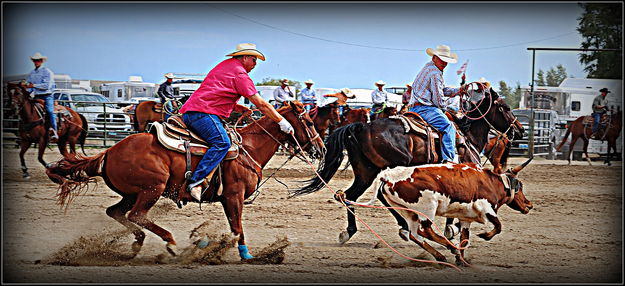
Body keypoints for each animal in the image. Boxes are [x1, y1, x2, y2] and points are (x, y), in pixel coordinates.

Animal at [46, 101, 324, 260]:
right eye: (310, 122)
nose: (321, 149)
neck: (249, 147)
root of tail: (109, 152)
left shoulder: (228, 199)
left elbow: (235, 228)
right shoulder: (233, 196)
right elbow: (237, 229)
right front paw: (245, 255)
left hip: (131, 194)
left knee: (116, 212)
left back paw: (138, 243)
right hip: (152, 189)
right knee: (137, 215)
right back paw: (170, 243)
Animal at [290, 87, 524, 244]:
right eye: (505, 107)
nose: (519, 130)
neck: (467, 136)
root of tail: (361, 127)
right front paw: (453, 228)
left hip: (366, 172)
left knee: (349, 195)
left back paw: (349, 231)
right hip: (393, 167)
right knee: (381, 195)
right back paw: (403, 228)